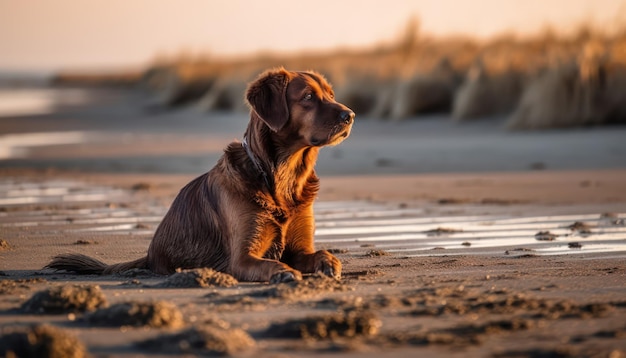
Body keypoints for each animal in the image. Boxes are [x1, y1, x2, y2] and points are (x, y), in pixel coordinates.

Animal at [46, 68, 354, 282]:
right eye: (308, 97)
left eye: (331, 95)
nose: (350, 115)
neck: (282, 178)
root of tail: (150, 255)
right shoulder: (242, 258)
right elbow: (271, 263)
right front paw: (283, 271)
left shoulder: (300, 248)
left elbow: (321, 253)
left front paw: (328, 262)